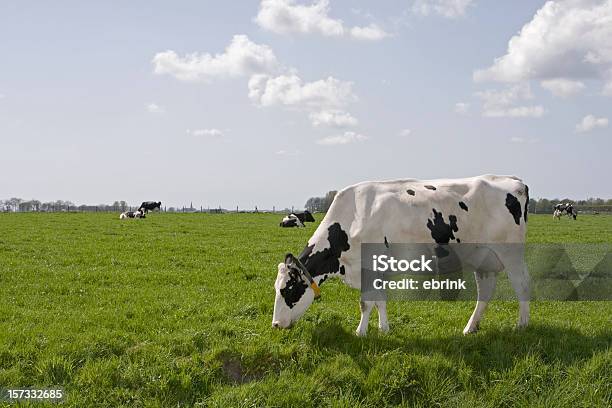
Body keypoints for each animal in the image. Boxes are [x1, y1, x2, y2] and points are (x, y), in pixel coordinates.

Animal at [272, 174, 532, 336]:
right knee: (485, 291)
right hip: (483, 258)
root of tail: (513, 180)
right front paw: (383, 329)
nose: (275, 324)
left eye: (289, 289)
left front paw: (360, 332)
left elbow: (366, 303)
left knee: (521, 285)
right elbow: (379, 300)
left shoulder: (369, 266)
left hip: (511, 253)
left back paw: (522, 324)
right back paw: (471, 328)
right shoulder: (374, 268)